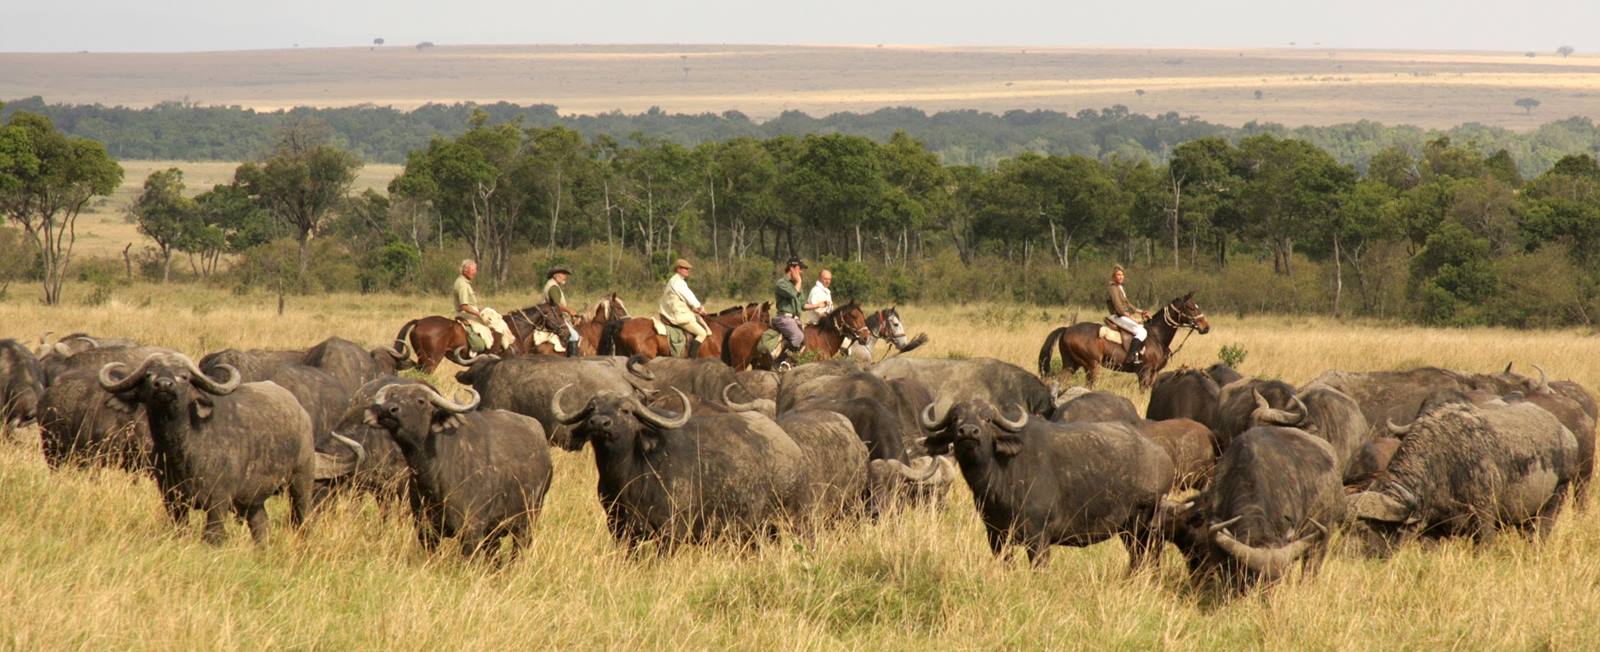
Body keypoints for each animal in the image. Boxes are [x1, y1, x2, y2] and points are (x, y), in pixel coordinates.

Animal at [725, 301, 872, 371]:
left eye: (863, 316)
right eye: (853, 316)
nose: (866, 336)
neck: (823, 338)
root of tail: (736, 330)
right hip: (739, 365)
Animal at [1036, 291, 1210, 389]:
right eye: (1191, 308)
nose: (1206, 327)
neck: (1157, 336)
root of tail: (1067, 329)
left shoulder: (1154, 373)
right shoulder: (1144, 372)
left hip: (1071, 365)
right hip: (1091, 365)